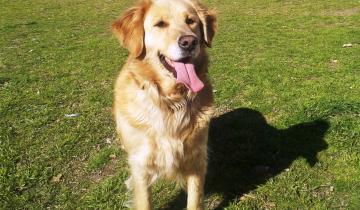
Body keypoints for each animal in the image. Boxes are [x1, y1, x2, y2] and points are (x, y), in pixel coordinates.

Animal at [111, 0, 215, 209]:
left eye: (190, 21)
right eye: (160, 24)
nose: (189, 42)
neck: (171, 101)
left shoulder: (197, 160)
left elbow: (194, 201)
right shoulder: (141, 166)